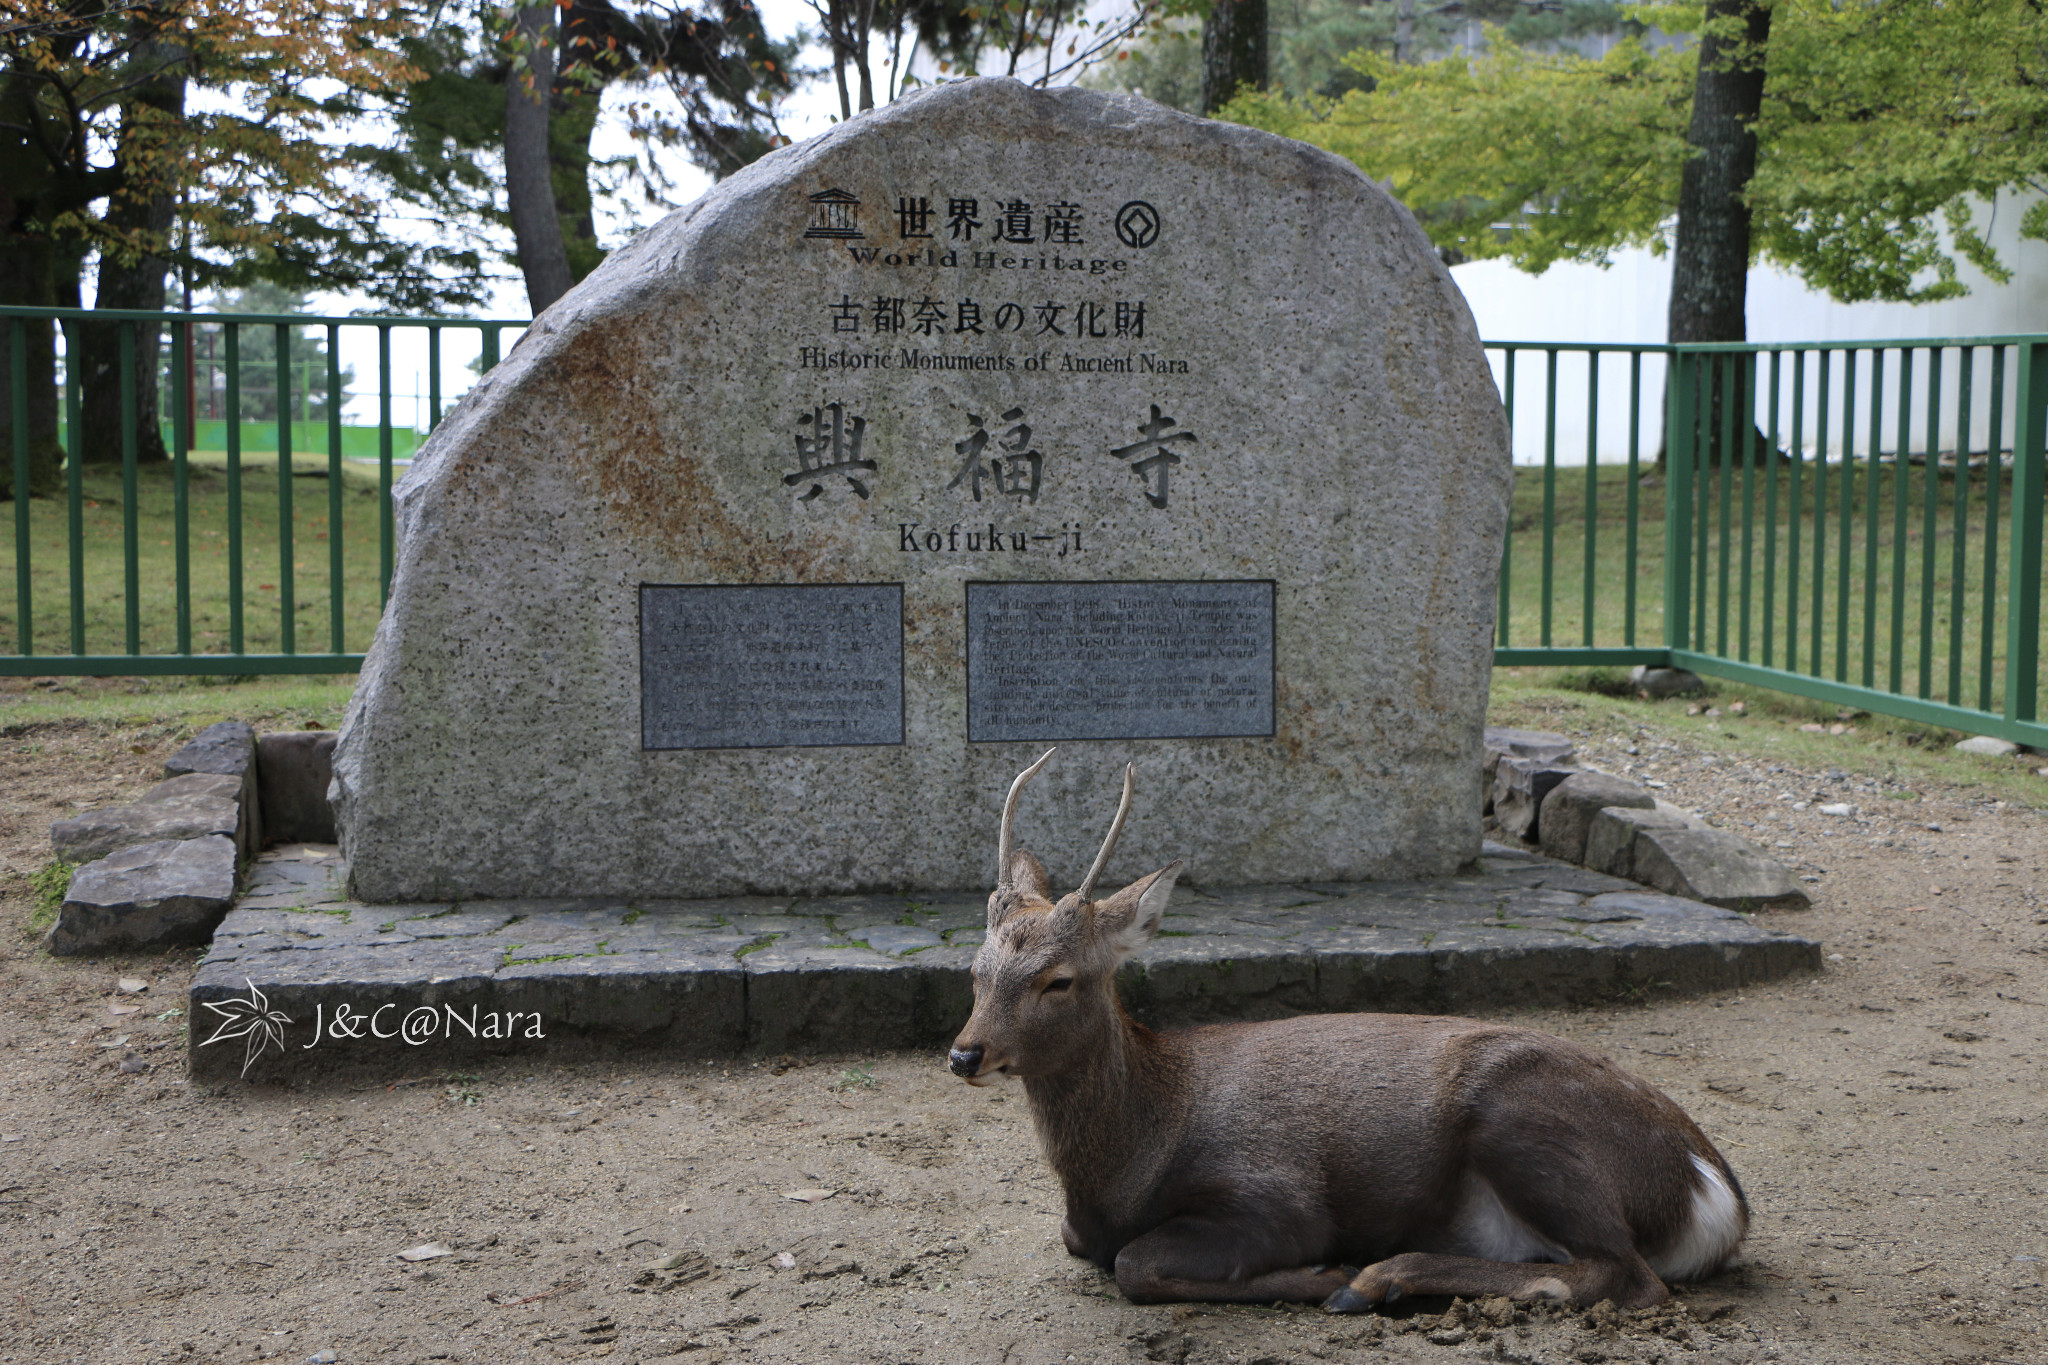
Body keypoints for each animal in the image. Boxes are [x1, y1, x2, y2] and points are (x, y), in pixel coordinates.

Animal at [946, 749, 1744, 1309]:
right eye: (975, 968)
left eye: (1059, 979)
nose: (964, 1053)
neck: (1129, 1166)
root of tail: (1713, 1194)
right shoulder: (1081, 1224)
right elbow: (1098, 1249)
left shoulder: (1280, 1192)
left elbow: (1135, 1263)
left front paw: (1322, 1271)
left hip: (1524, 1119)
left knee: (1626, 1274)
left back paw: (1374, 1279)